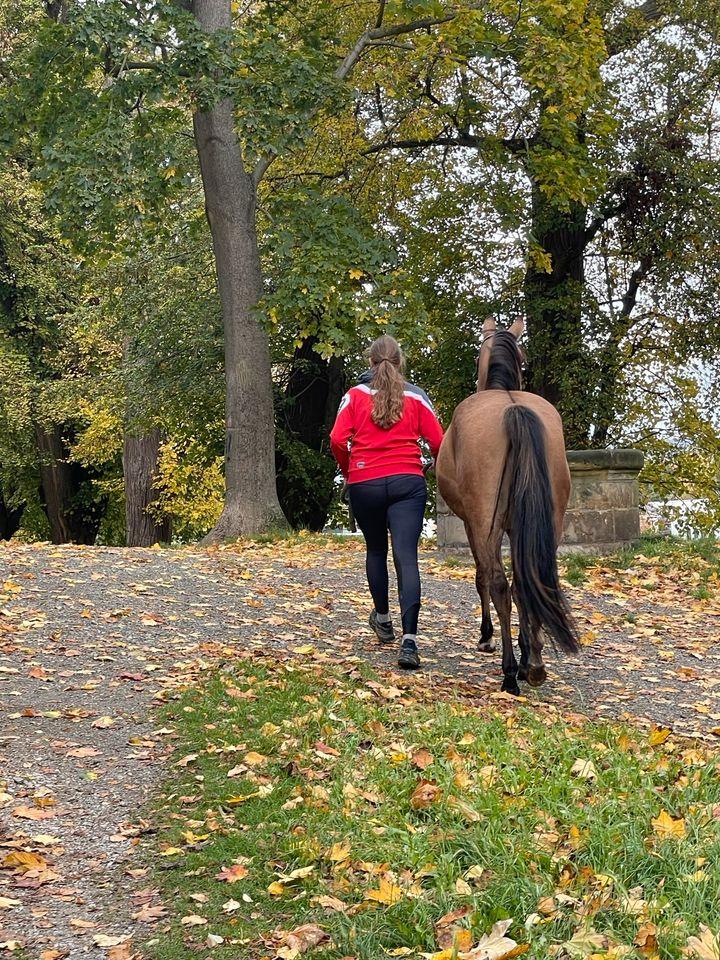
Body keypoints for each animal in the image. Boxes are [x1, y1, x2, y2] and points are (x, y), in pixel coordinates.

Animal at [436, 317, 579, 695]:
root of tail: (514, 408)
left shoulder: (473, 524)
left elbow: (482, 578)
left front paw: (487, 638)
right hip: (550, 521)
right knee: (533, 579)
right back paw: (534, 664)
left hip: (485, 521)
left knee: (499, 583)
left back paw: (510, 670)